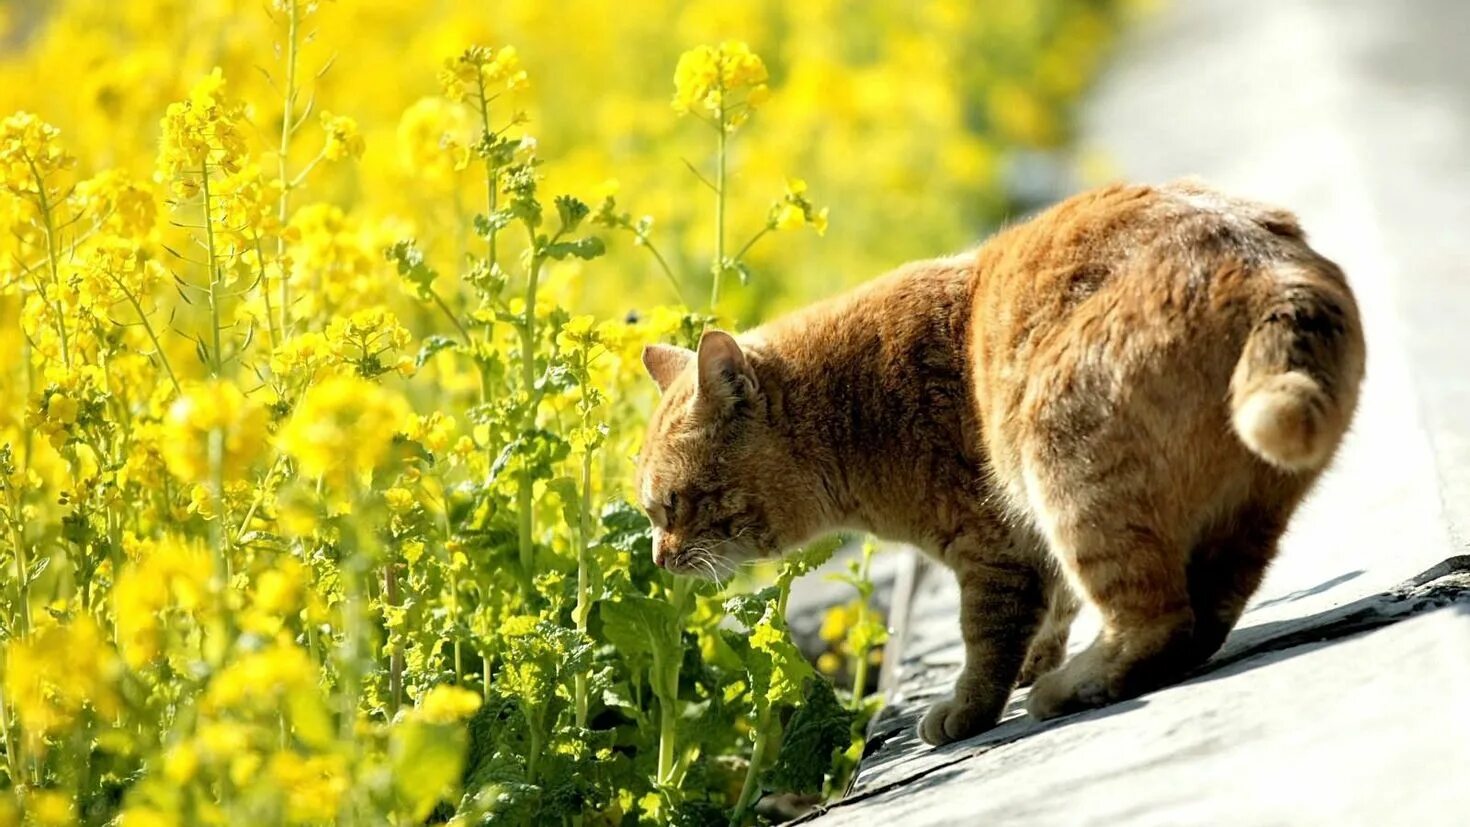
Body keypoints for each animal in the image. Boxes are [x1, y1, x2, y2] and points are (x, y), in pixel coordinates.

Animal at [637, 182, 1358, 752]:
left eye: (671, 505)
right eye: (649, 513)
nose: (657, 558)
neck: (850, 407)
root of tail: (1272, 268)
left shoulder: (993, 550)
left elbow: (987, 641)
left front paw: (969, 708)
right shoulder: (1029, 549)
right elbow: (1052, 608)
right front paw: (1037, 659)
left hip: (1066, 468)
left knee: (1157, 620)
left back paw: (1072, 687)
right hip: (1238, 519)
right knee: (1204, 614)